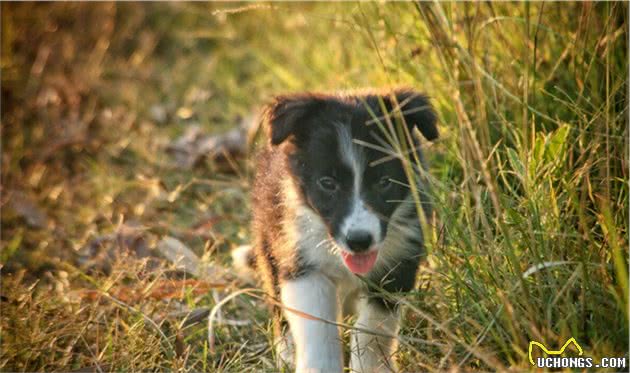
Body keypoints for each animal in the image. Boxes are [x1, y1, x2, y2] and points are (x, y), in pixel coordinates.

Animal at [235, 88, 436, 370]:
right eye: (328, 183)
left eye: (384, 182)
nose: (359, 241)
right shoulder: (302, 262)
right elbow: (317, 328)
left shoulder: (397, 266)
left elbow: (373, 329)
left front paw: (372, 367)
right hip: (269, 243)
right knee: (278, 305)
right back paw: (287, 353)